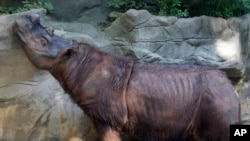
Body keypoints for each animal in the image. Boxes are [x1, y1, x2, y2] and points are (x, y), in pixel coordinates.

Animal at [13, 13, 240, 140]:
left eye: (42, 42)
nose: (22, 19)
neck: (73, 62)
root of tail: (232, 89)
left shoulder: (105, 116)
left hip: (216, 100)